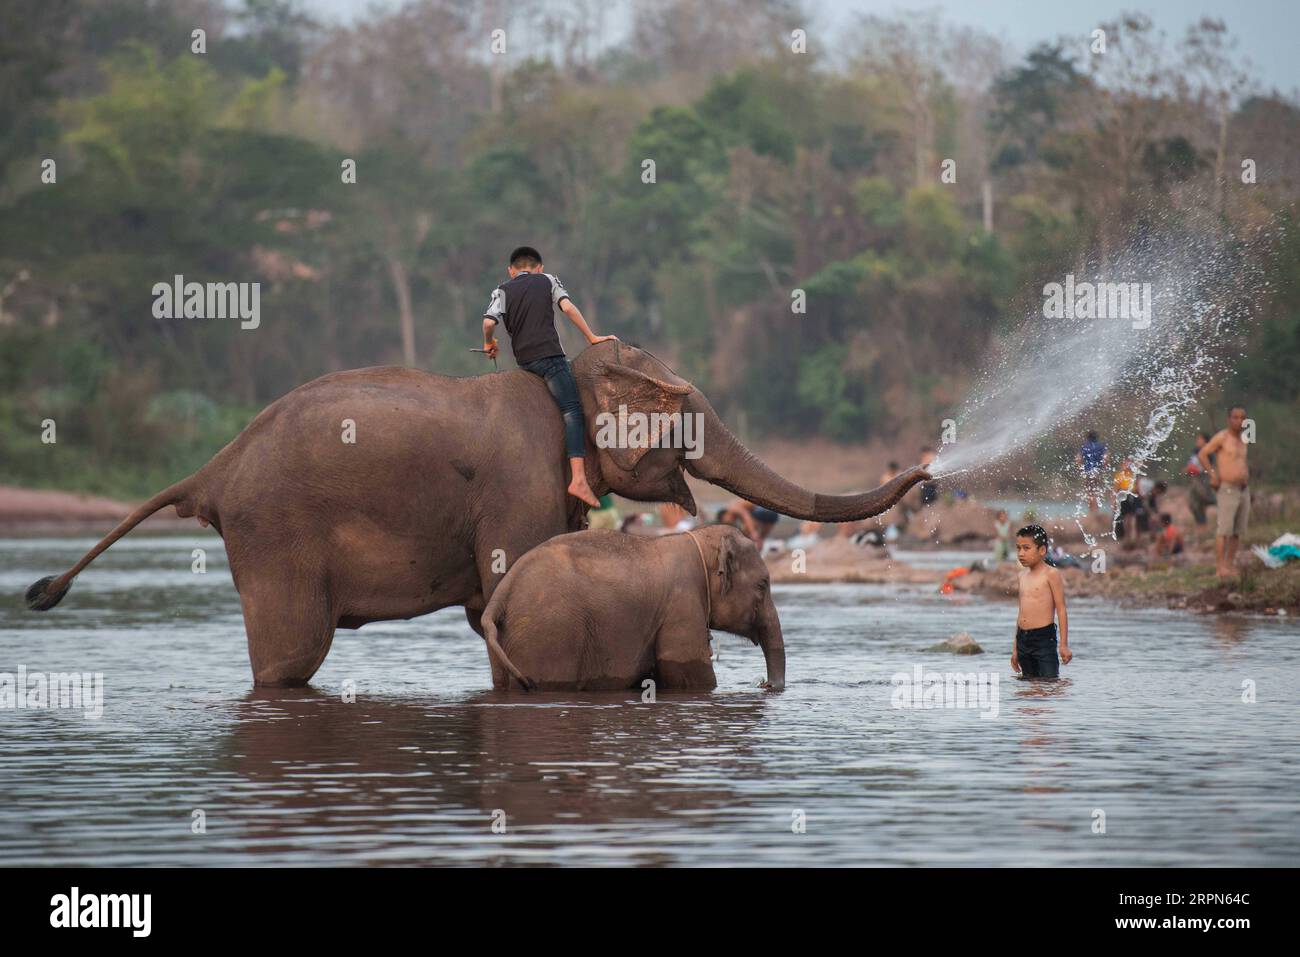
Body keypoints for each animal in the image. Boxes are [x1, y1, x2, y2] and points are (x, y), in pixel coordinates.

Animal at [480, 527, 774, 691]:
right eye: (763, 585)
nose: (765, 684)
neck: (697, 540)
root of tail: (500, 595)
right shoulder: (683, 603)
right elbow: (689, 671)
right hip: (550, 634)